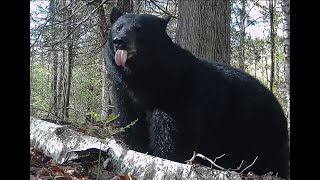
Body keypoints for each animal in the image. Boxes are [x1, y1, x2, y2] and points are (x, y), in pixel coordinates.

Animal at [106, 7, 288, 179]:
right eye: (118, 28)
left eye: (139, 29)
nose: (119, 41)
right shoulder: (126, 94)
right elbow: (132, 123)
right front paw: (138, 148)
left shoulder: (184, 96)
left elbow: (171, 133)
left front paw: (166, 156)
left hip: (258, 131)